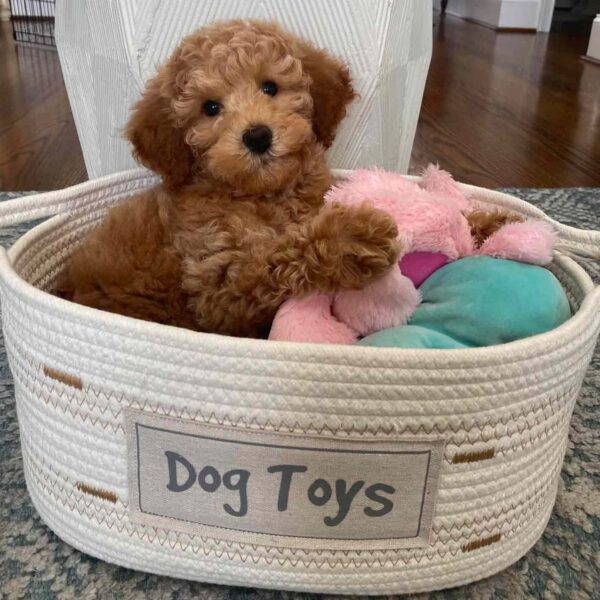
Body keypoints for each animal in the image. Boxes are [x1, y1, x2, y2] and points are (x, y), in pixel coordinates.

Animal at [58, 19, 400, 338]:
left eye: (270, 87)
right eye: (210, 108)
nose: (258, 136)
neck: (263, 194)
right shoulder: (217, 290)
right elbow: (273, 259)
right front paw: (351, 236)